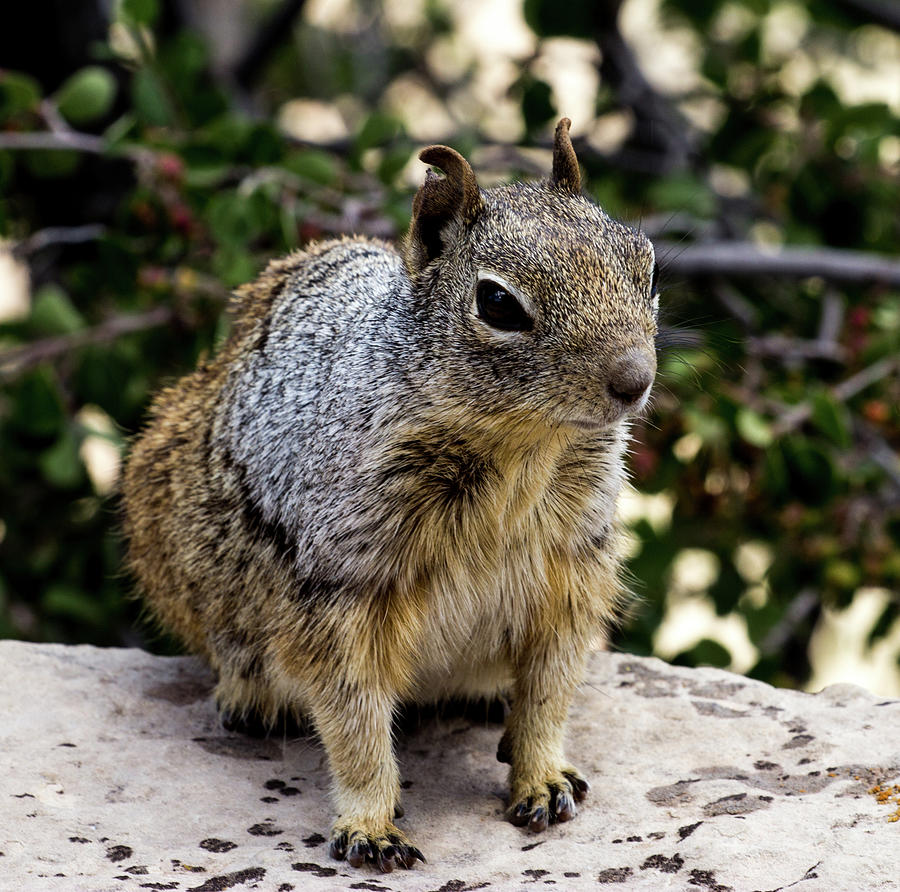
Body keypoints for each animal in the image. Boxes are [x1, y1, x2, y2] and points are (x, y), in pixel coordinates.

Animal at [121, 116, 652, 872]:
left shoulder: (572, 571)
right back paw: (250, 699)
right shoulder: (341, 587)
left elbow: (550, 692)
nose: (635, 380)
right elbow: (355, 719)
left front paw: (543, 778)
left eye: (646, 265)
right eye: (497, 303)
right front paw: (370, 825)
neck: (520, 450)